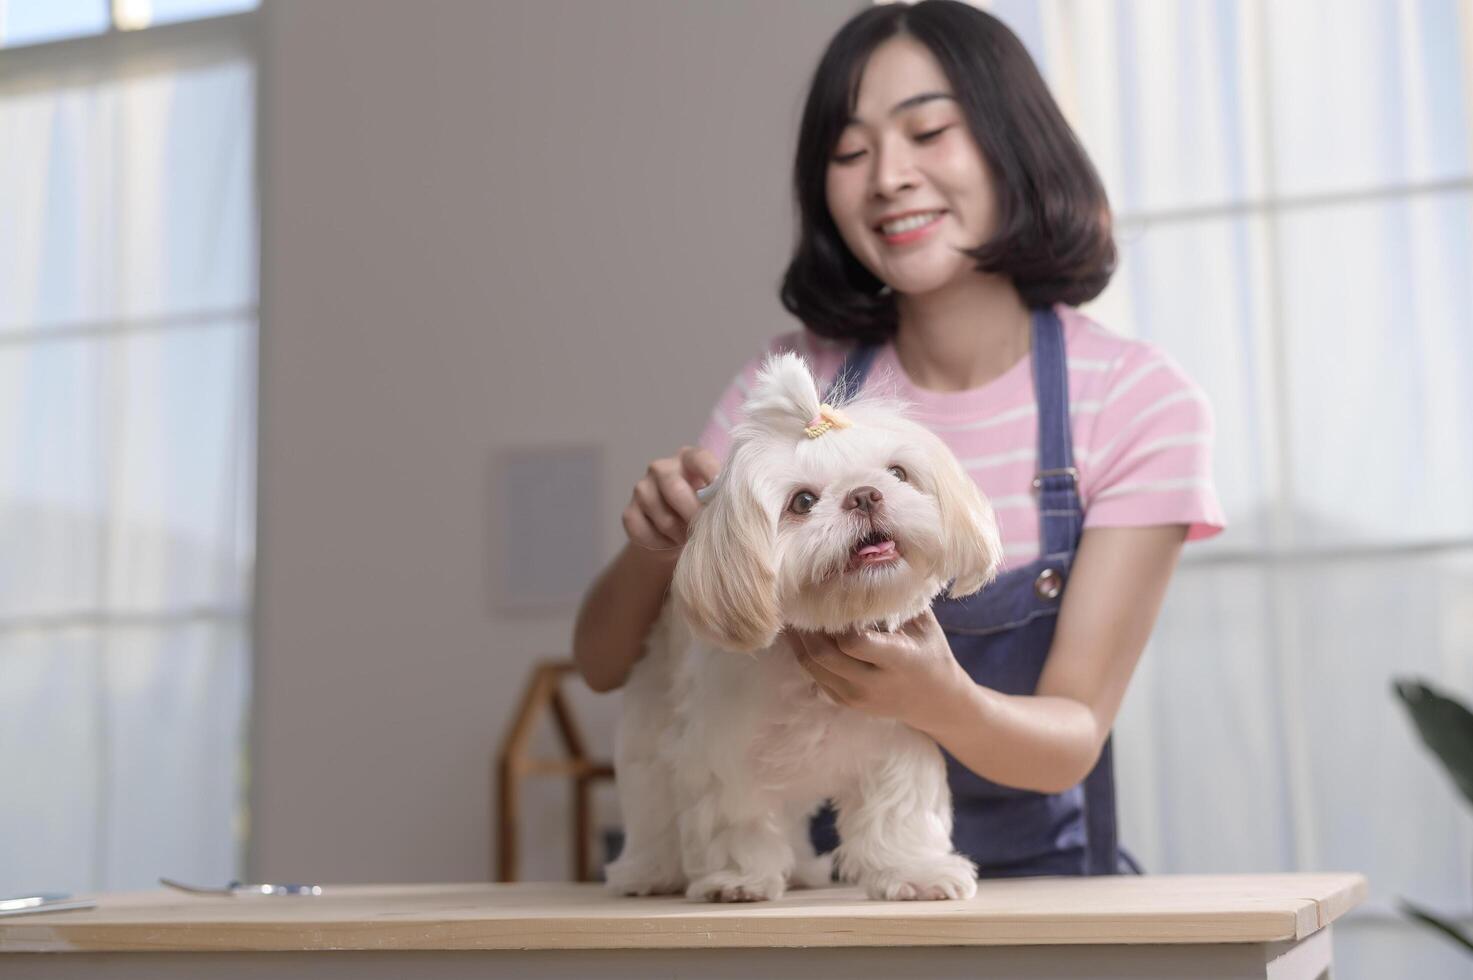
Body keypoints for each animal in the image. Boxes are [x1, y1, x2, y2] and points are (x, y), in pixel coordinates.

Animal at [603, 352, 1007, 901]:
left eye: (897, 472)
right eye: (802, 503)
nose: (865, 495)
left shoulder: (900, 734)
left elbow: (898, 813)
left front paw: (915, 872)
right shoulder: (724, 753)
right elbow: (737, 820)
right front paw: (739, 879)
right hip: (649, 739)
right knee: (653, 808)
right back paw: (648, 872)